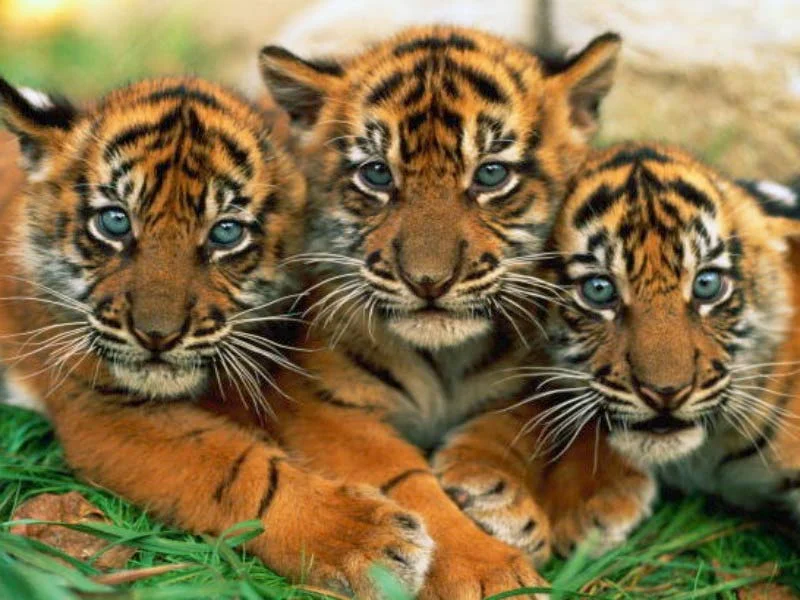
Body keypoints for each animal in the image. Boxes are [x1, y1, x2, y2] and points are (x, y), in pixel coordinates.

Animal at [0, 76, 441, 597]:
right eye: (115, 221)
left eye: (226, 233)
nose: (157, 336)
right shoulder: (101, 407)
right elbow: (239, 470)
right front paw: (367, 542)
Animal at [257, 25, 622, 598]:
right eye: (377, 174)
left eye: (491, 174)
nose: (428, 280)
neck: (443, 360)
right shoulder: (323, 405)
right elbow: (406, 484)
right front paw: (489, 572)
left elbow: (509, 425)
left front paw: (495, 490)